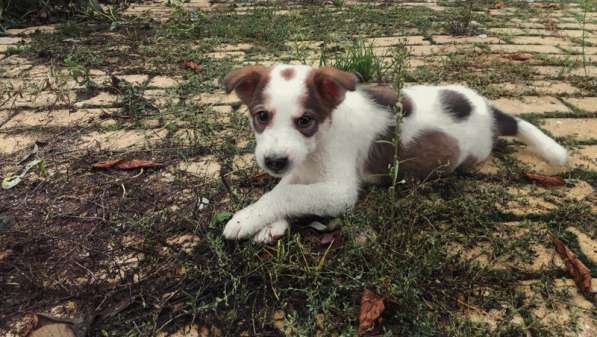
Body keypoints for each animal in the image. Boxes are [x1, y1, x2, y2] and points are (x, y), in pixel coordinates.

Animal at [221, 63, 564, 242]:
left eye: (305, 121)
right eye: (261, 117)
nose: (274, 161)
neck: (319, 141)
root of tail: (490, 110)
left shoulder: (340, 191)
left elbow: (288, 194)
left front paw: (245, 219)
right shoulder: (301, 169)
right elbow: (283, 189)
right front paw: (270, 224)